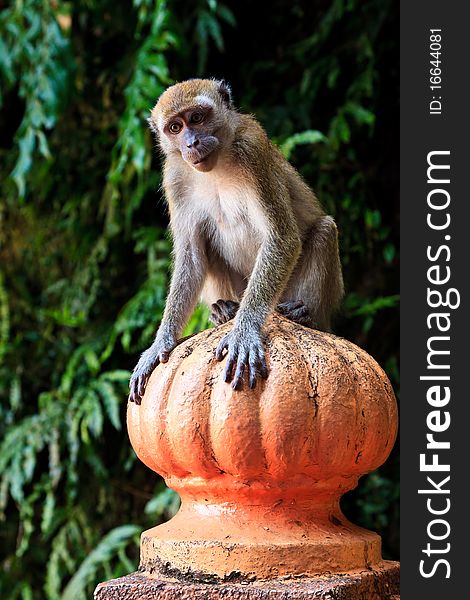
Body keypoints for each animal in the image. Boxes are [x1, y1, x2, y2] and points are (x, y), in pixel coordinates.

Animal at [127, 76, 342, 404]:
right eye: (175, 127)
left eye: (197, 118)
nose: (191, 143)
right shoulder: (175, 176)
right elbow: (191, 256)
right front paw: (160, 342)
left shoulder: (252, 149)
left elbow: (282, 238)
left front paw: (244, 330)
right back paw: (224, 310)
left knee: (324, 231)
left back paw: (304, 316)